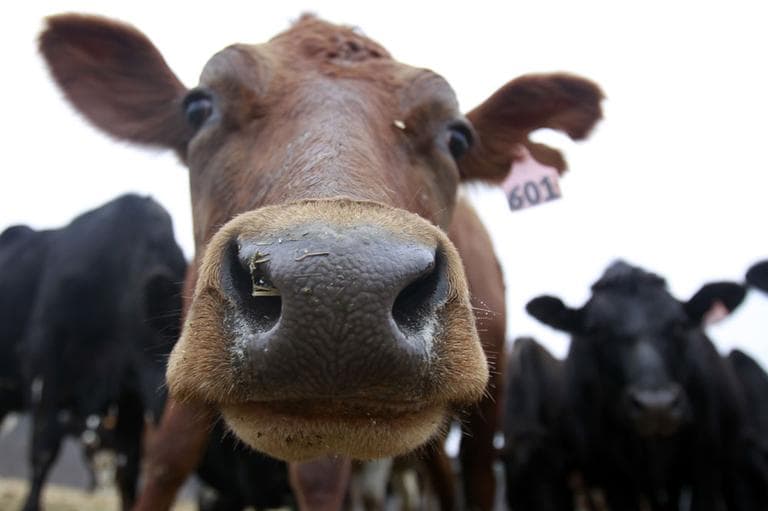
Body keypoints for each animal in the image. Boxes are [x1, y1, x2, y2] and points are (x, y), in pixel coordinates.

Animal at [38, 14, 603, 510]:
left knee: (476, 475)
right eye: (198, 108)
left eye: (458, 137)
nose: (339, 291)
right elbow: (166, 461)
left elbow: (318, 479)